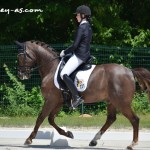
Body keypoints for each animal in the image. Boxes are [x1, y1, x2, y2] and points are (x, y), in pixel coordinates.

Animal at [15, 40, 150, 149]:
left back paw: (132, 144)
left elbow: (41, 117)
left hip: (122, 103)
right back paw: (94, 141)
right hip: (111, 101)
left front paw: (29, 139)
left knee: (134, 119)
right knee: (111, 119)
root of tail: (130, 71)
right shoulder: (58, 102)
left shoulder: (51, 100)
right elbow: (50, 119)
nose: (21, 75)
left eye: (20, 56)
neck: (51, 68)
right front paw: (68, 134)